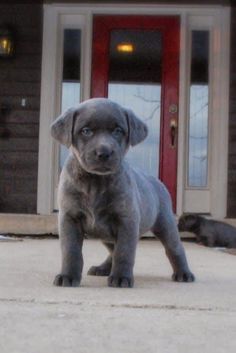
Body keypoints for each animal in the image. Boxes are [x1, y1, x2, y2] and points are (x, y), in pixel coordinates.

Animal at [50, 98, 195, 286]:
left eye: (118, 131)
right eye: (86, 131)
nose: (103, 152)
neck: (96, 182)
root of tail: (156, 181)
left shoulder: (127, 220)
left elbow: (124, 252)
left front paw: (121, 278)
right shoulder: (69, 218)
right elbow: (71, 251)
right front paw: (67, 275)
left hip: (166, 224)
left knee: (175, 249)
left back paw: (183, 273)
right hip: (107, 234)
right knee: (112, 250)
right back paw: (103, 268)